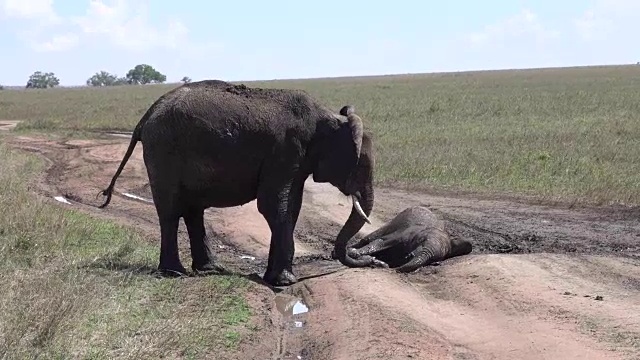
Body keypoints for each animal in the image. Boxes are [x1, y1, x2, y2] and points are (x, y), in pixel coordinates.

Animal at [97, 80, 382, 286]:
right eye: (361, 166)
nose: (375, 262)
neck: (328, 118)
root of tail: (148, 114)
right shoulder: (285, 150)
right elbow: (273, 206)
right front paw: (286, 282)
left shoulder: (297, 162)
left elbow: (291, 208)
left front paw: (274, 278)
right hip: (163, 151)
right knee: (170, 211)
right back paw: (174, 273)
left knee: (192, 210)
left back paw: (210, 269)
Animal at [342, 207, 472, 272]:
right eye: (422, 241)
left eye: (436, 258)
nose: (394, 269)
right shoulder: (404, 234)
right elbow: (381, 242)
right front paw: (354, 253)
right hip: (393, 222)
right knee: (369, 238)